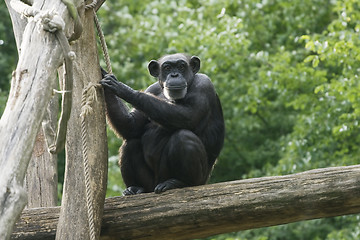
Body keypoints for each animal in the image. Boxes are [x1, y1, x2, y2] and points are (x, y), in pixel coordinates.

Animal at [101, 53, 224, 195]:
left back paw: (179, 183)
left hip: (198, 179)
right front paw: (105, 78)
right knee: (131, 142)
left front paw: (124, 89)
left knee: (184, 137)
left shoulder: (203, 84)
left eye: (181, 66)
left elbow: (189, 115)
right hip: (150, 183)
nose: (174, 75)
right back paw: (136, 188)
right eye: (167, 68)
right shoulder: (152, 88)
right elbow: (131, 126)